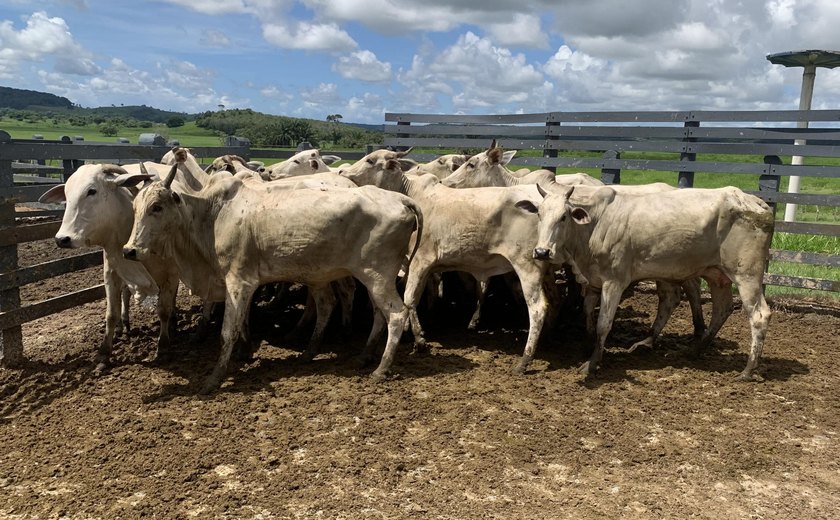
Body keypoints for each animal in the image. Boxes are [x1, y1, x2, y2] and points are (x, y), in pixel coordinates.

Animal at [121, 160, 424, 392]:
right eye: (135, 208)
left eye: (157, 206)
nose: (129, 250)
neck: (213, 216)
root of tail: (402, 199)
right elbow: (242, 322)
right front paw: (244, 351)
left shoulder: (238, 281)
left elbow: (227, 331)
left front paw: (214, 379)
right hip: (366, 278)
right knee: (368, 312)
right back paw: (354, 354)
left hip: (378, 276)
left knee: (396, 314)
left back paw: (381, 368)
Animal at [338, 150, 556, 374]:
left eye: (370, 160)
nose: (341, 172)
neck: (412, 196)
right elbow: (415, 297)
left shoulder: (419, 261)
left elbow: (409, 298)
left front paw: (420, 341)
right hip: (545, 267)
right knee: (551, 299)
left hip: (527, 266)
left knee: (538, 308)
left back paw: (525, 359)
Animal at [524, 185, 776, 380]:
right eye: (539, 214)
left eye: (563, 216)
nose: (542, 251)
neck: (595, 224)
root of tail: (756, 203)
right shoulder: (593, 281)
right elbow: (588, 313)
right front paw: (587, 346)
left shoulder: (614, 282)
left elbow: (604, 324)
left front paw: (592, 364)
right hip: (717, 275)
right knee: (720, 309)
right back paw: (692, 350)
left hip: (747, 274)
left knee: (759, 315)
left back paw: (748, 370)